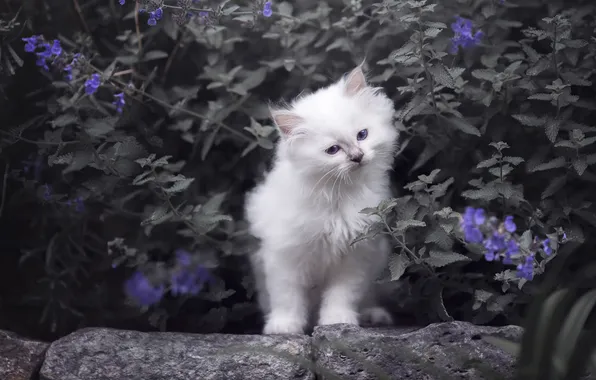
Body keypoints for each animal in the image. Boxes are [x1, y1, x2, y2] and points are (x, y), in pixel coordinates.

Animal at [244, 65, 398, 336]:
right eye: (333, 150)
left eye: (362, 135)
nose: (357, 156)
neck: (337, 196)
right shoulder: (285, 255)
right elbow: (287, 297)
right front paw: (284, 326)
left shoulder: (356, 255)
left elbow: (342, 295)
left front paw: (337, 321)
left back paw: (373, 315)